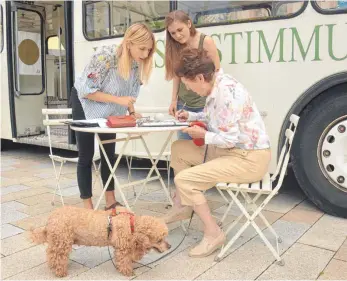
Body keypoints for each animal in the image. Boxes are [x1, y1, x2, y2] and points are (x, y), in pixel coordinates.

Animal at [31, 205, 170, 276]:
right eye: (159, 239)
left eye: (165, 236)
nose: (170, 246)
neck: (131, 225)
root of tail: (50, 218)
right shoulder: (122, 249)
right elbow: (124, 261)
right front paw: (128, 272)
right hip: (62, 240)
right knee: (56, 256)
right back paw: (60, 272)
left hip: (59, 240)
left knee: (51, 254)